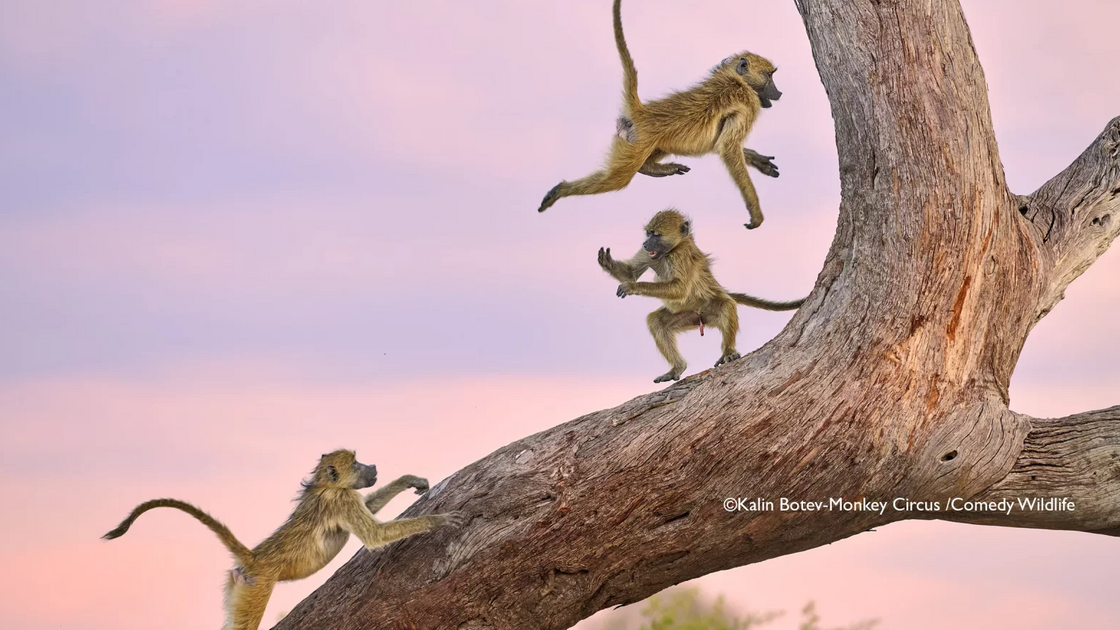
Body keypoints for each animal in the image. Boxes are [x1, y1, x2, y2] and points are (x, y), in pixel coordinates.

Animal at [103, 450, 462, 630]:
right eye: (356, 462)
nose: (372, 466)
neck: (325, 486)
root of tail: (254, 558)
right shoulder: (343, 500)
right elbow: (375, 535)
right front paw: (440, 520)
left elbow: (371, 510)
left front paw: (409, 480)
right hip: (256, 587)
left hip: (238, 586)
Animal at [538, 0, 784, 229]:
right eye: (770, 77)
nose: (779, 92)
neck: (736, 79)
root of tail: (641, 112)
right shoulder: (749, 103)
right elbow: (728, 148)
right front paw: (756, 214)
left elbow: (721, 145)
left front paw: (758, 160)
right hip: (637, 143)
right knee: (616, 180)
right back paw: (560, 190)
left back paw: (651, 169)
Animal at [599, 209, 805, 382]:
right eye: (648, 233)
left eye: (656, 235)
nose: (645, 243)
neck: (672, 249)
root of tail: (701, 315)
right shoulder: (648, 254)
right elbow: (631, 272)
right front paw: (608, 263)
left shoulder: (681, 255)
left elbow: (680, 289)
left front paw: (632, 286)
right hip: (689, 316)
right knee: (656, 321)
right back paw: (677, 368)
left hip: (711, 306)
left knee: (727, 305)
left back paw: (728, 351)